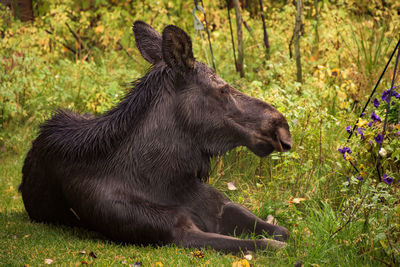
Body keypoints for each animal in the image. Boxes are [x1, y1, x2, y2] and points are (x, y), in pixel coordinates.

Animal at [19, 21, 290, 253]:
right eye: (223, 89)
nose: (282, 127)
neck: (165, 178)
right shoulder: (174, 233)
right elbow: (265, 244)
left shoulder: (220, 207)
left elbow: (282, 231)